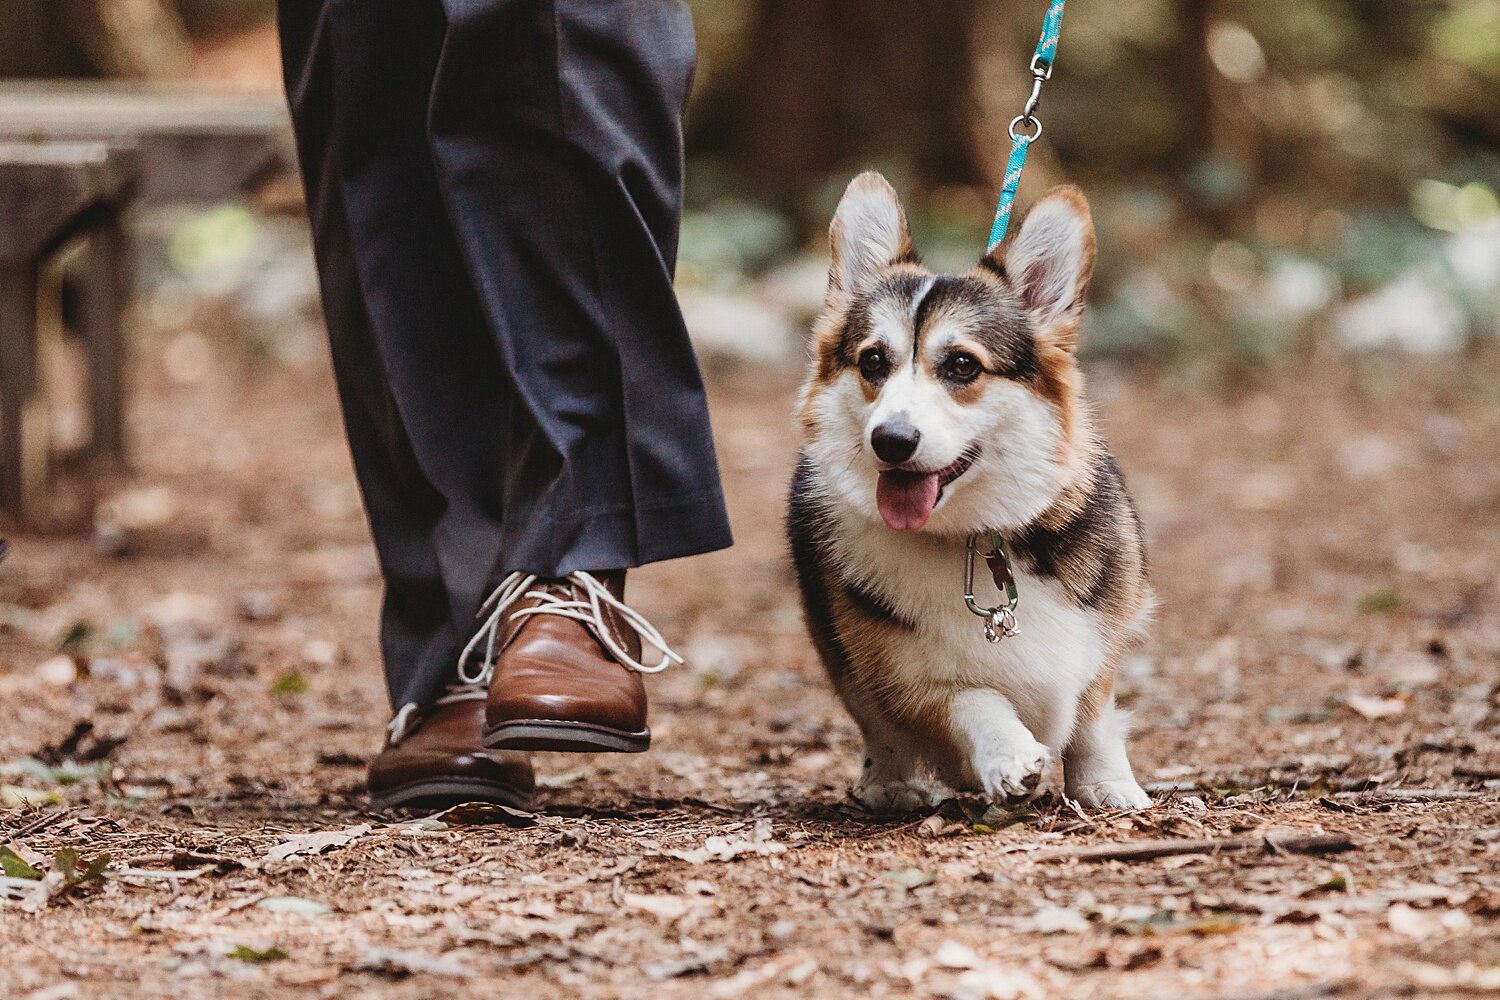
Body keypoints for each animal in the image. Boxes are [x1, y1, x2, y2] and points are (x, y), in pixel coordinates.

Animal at [792, 172, 1152, 815]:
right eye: (873, 361)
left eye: (962, 365)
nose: (890, 440)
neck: (976, 538)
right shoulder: (909, 675)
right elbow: (971, 699)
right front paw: (1009, 757)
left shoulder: (1099, 644)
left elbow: (1093, 719)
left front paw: (1107, 785)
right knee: (878, 727)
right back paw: (891, 783)